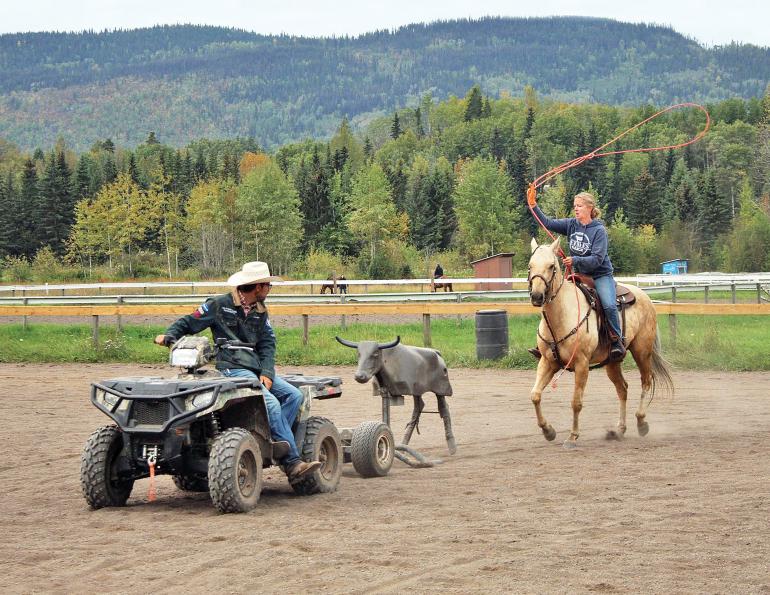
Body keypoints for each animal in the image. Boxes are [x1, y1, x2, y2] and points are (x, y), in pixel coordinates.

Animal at [527, 237, 673, 448]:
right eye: (530, 266)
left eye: (551, 266)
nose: (537, 296)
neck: (561, 316)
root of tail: (645, 296)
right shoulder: (547, 362)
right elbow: (535, 395)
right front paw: (548, 431)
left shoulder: (581, 364)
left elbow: (576, 402)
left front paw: (572, 437)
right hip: (612, 362)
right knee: (622, 388)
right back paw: (619, 430)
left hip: (642, 351)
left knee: (646, 381)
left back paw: (641, 423)